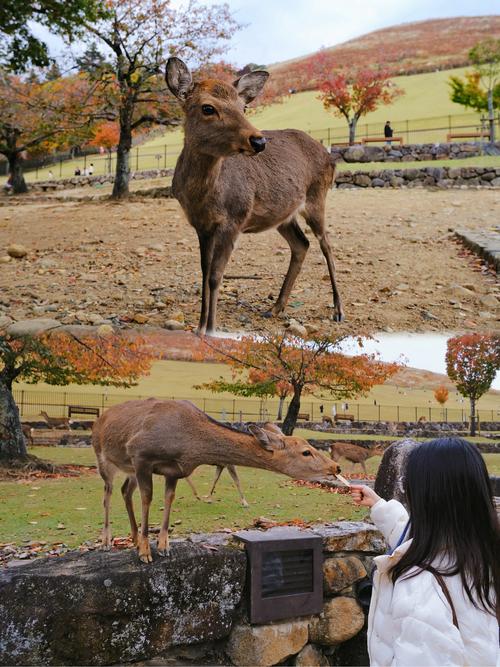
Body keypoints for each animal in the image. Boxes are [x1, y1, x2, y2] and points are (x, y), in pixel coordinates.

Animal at [92, 399, 342, 563]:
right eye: (306, 452)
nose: (335, 467)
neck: (189, 447)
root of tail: (99, 419)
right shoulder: (140, 455)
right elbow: (148, 499)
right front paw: (145, 552)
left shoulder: (173, 471)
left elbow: (169, 499)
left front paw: (163, 545)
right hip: (104, 458)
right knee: (107, 494)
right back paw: (106, 542)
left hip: (129, 470)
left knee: (125, 491)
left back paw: (132, 538)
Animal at [165, 57, 343, 335]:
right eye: (208, 108)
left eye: (244, 107)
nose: (259, 141)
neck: (203, 198)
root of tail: (330, 156)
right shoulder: (201, 226)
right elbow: (204, 273)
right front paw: (199, 328)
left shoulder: (234, 219)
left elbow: (216, 276)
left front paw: (211, 330)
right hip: (284, 215)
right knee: (301, 244)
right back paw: (276, 307)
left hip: (317, 197)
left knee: (326, 244)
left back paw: (337, 310)